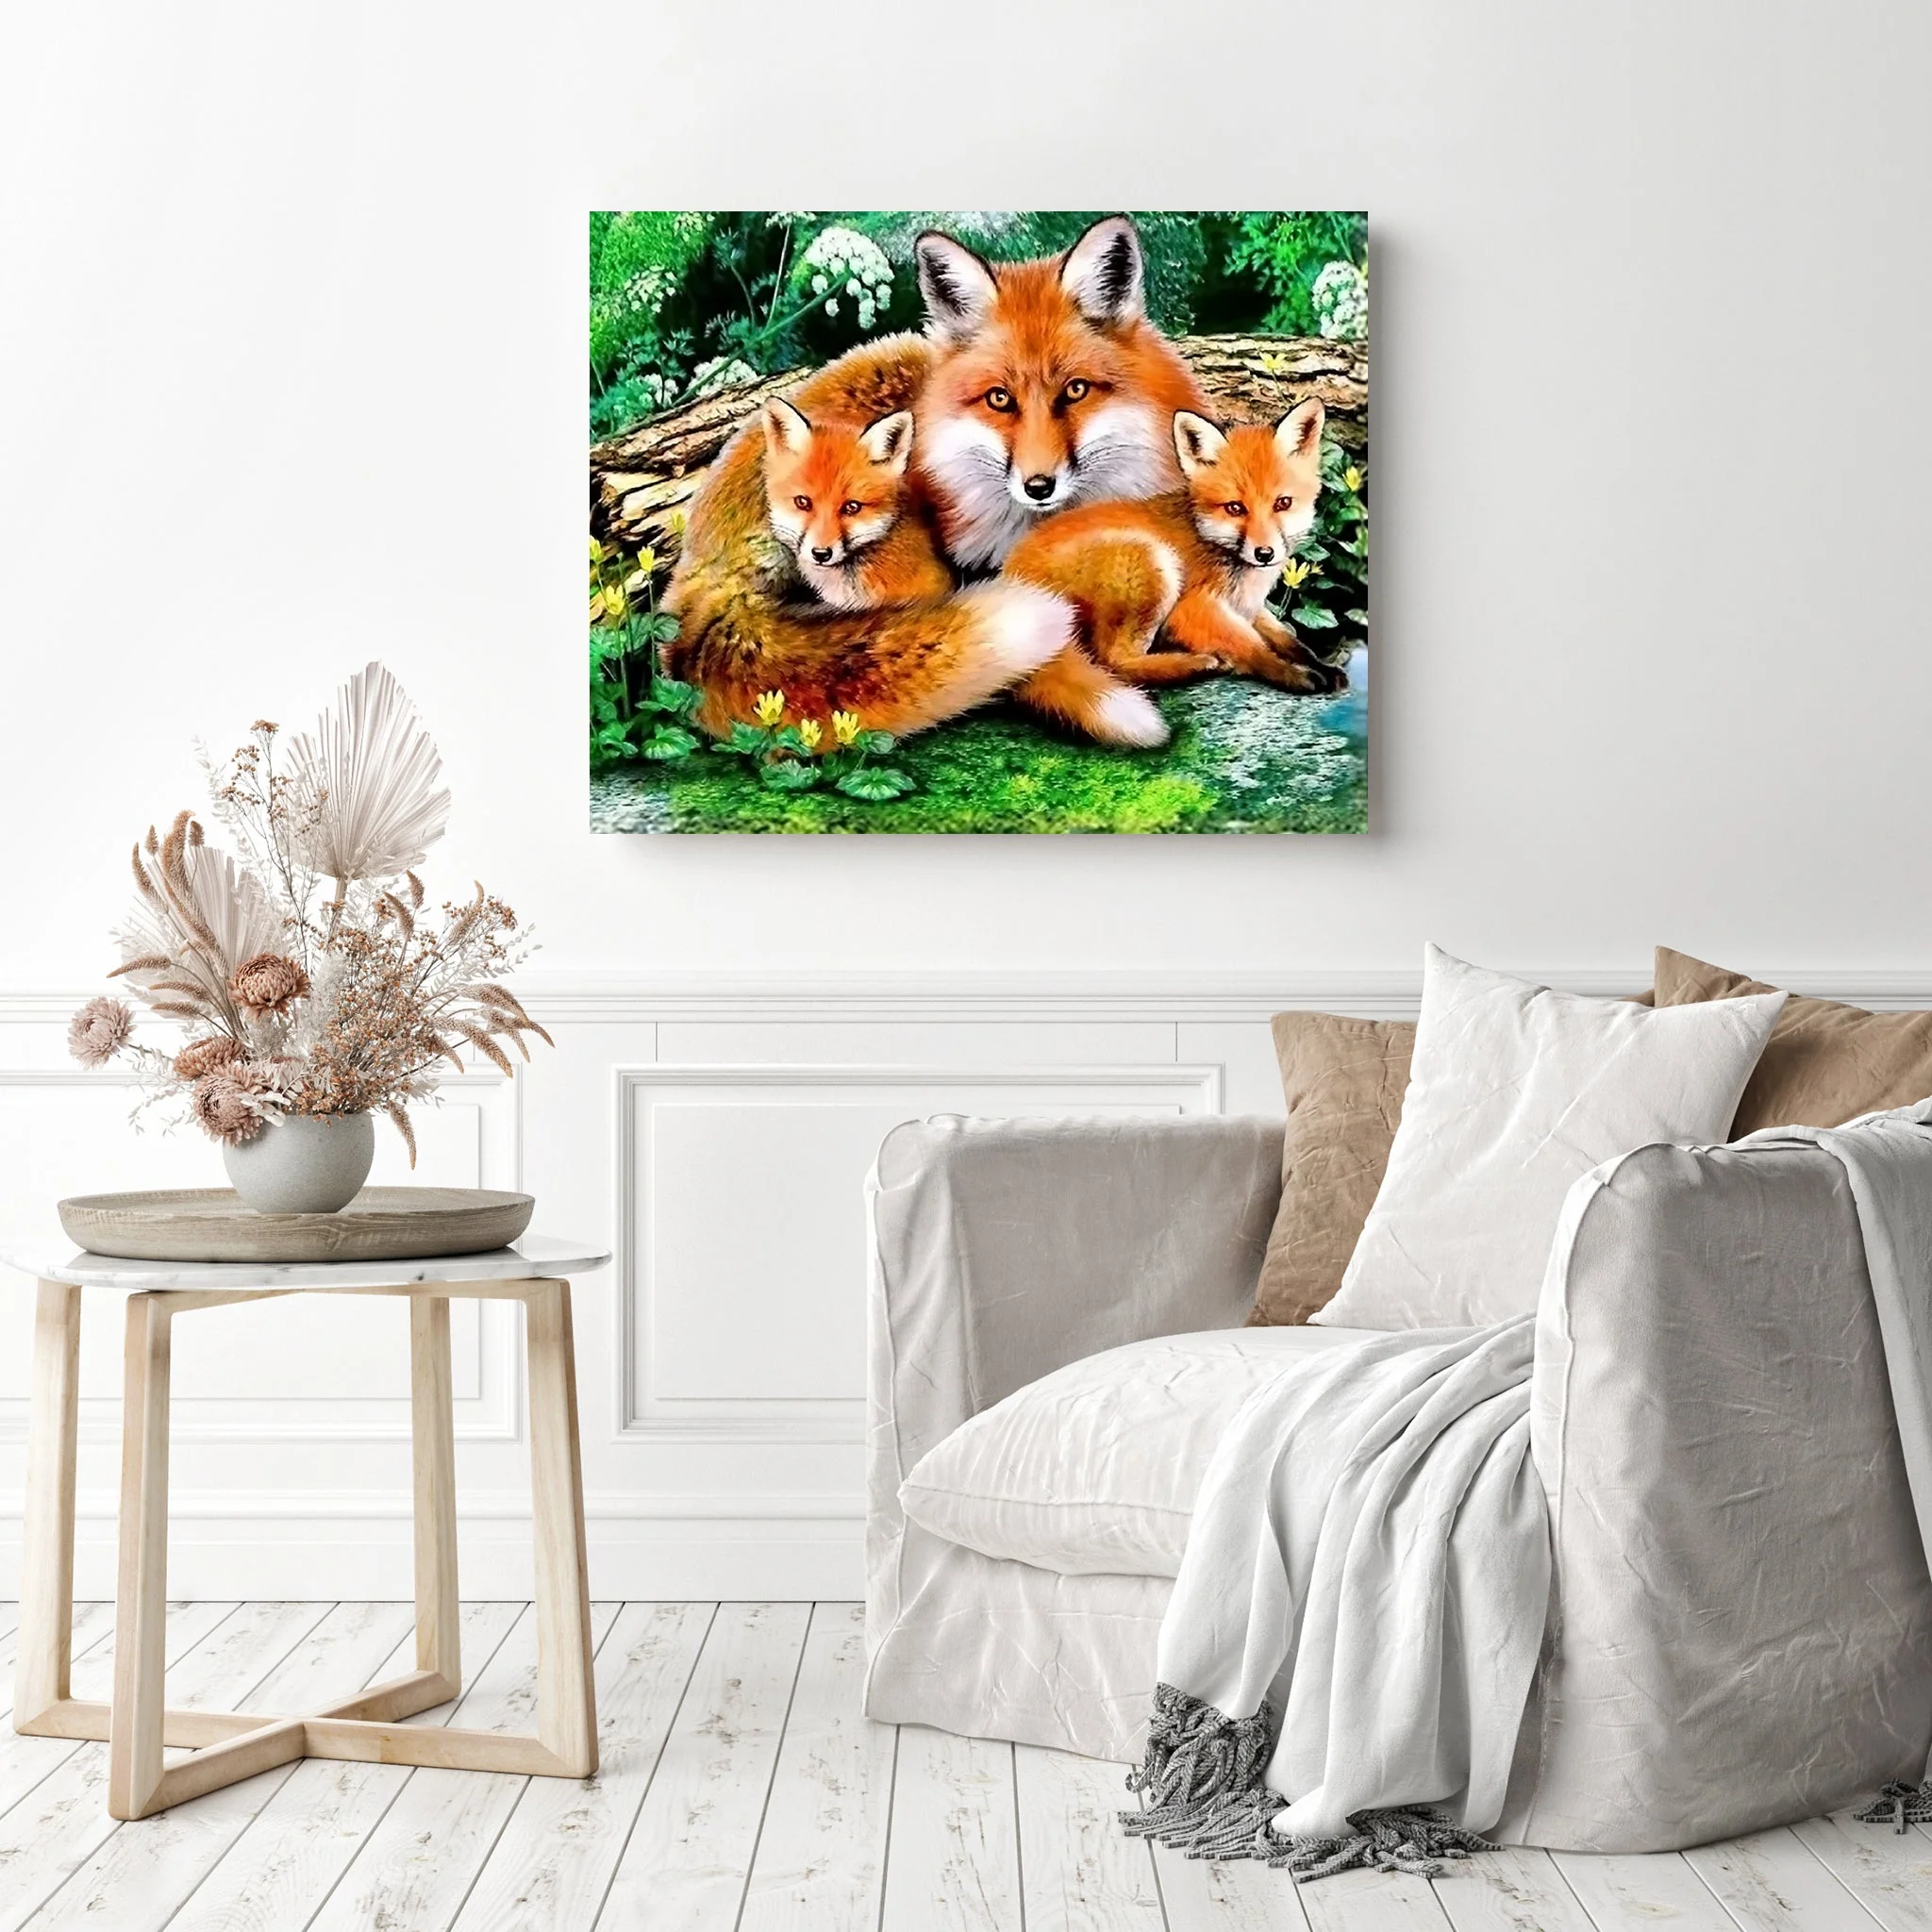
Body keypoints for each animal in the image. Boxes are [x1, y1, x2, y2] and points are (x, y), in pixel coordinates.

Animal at [1004, 402, 1349, 722]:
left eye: (1283, 503)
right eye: (1235, 508)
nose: (1265, 554)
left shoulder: (1249, 608)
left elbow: (1289, 639)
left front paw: (1320, 665)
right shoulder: (1192, 609)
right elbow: (1253, 647)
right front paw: (1291, 673)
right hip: (1153, 562)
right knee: (1114, 662)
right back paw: (1197, 664)